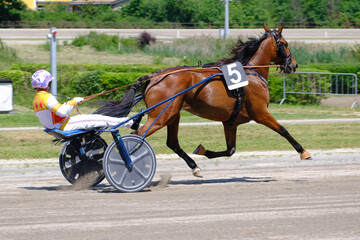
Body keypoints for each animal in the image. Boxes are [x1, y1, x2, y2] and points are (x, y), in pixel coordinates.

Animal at [99, 24, 312, 177]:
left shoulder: (230, 122)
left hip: (172, 114)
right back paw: (127, 164)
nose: (294, 65)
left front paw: (202, 150)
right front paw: (303, 152)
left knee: (172, 142)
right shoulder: (260, 113)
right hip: (161, 116)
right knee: (137, 135)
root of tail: (152, 77)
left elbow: (230, 150)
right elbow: (283, 130)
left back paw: (195, 167)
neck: (251, 73)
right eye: (285, 43)